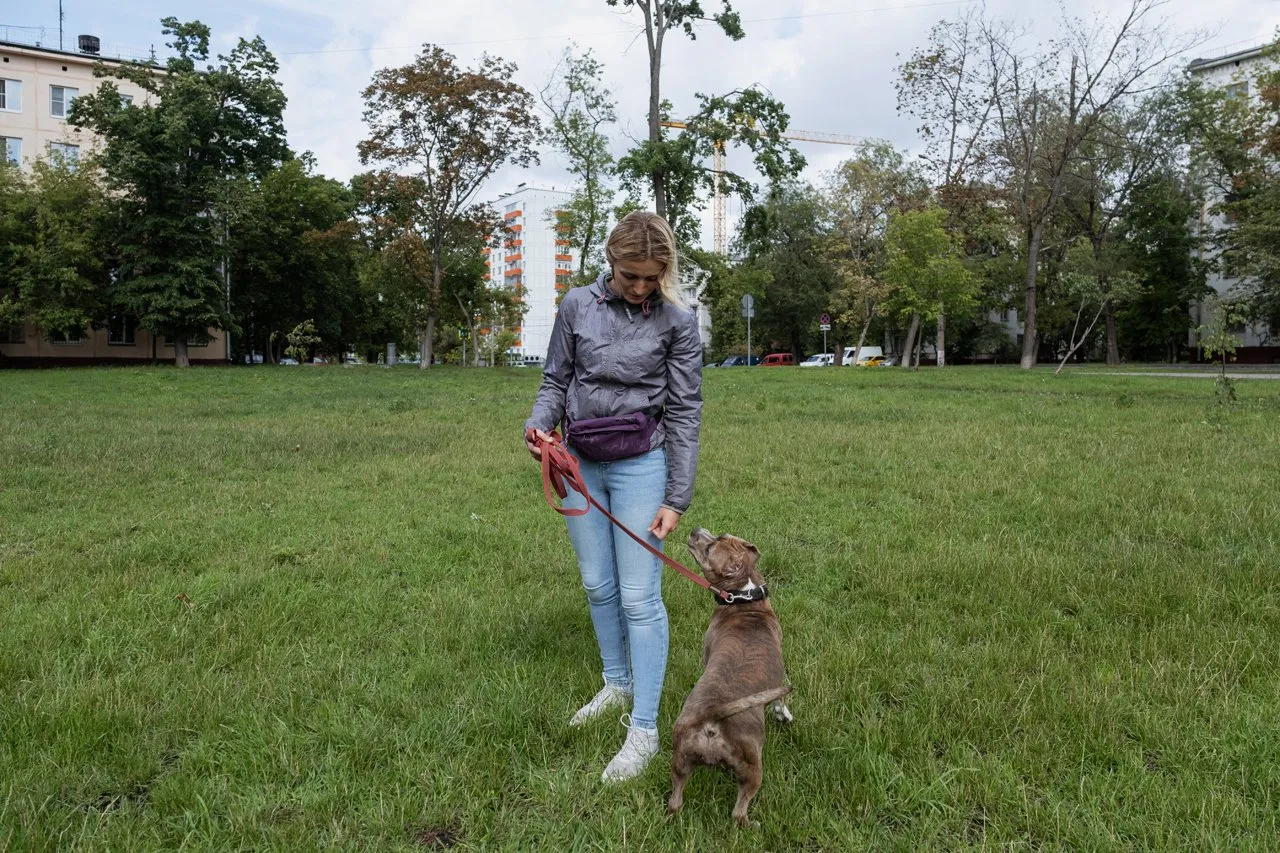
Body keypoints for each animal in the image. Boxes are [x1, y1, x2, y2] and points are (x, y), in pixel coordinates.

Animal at [665, 525, 793, 824]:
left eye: (715, 542)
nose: (694, 529)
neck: (744, 598)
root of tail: (713, 717)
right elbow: (780, 698)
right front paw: (783, 713)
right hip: (752, 768)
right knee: (738, 812)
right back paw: (751, 823)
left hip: (680, 758)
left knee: (676, 799)